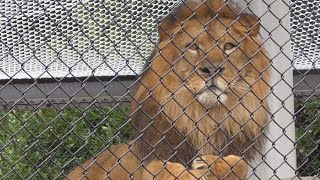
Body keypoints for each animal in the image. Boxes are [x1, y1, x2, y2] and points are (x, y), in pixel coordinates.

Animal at [67, 0, 270, 179]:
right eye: (193, 46)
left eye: (228, 46)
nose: (212, 69)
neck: (204, 118)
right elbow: (159, 169)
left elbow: (240, 164)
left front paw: (213, 165)